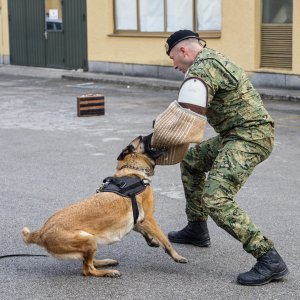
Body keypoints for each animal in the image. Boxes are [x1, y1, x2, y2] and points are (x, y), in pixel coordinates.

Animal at [22, 136, 188, 276]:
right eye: (143, 138)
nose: (154, 128)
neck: (132, 171)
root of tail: (41, 232)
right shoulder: (148, 217)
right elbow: (166, 241)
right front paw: (177, 256)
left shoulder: (136, 218)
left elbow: (143, 230)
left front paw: (151, 240)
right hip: (88, 239)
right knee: (87, 270)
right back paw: (108, 272)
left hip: (90, 242)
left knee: (89, 261)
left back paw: (106, 262)